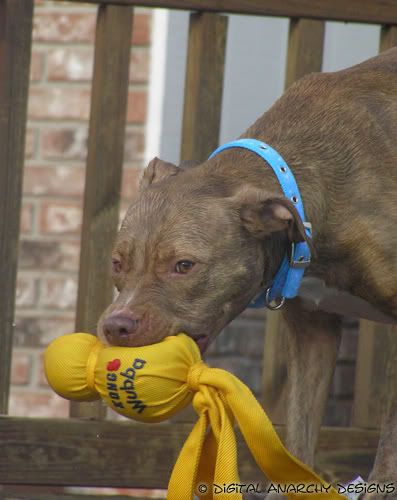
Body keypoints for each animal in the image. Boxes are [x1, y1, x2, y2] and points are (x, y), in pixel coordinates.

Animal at [97, 48, 396, 486]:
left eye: (183, 266)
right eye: (118, 263)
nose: (116, 326)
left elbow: (389, 446)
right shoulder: (313, 332)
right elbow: (299, 439)